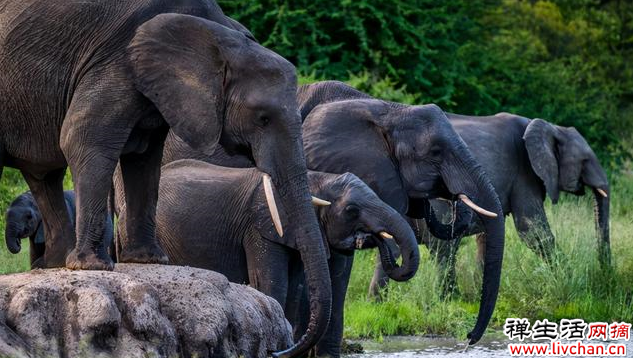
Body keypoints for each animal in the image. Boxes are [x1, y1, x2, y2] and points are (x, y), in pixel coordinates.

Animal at [1, 2, 330, 356]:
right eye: (263, 118)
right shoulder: (115, 61)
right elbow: (83, 139)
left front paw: (148, 260)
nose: (278, 350)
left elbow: (145, 159)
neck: (217, 31)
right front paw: (93, 267)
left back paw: (53, 264)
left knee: (44, 176)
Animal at [115, 159, 420, 358]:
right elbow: (273, 284)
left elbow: (298, 289)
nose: (371, 236)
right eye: (352, 210)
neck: (316, 179)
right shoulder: (261, 226)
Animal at [412, 113, 608, 296]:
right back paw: (451, 298)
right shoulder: (524, 172)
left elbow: (488, 234)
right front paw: (574, 283)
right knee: (444, 243)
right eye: (585, 161)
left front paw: (481, 292)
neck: (553, 127)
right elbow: (534, 231)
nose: (606, 273)